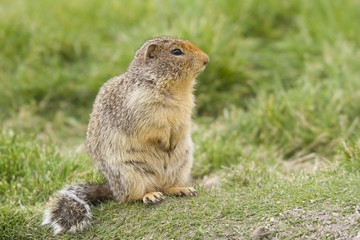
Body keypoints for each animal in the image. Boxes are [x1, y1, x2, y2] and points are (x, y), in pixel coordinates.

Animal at [42, 36, 210, 233]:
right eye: (176, 52)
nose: (207, 59)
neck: (175, 90)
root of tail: (113, 189)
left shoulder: (185, 109)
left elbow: (182, 125)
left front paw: (173, 141)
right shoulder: (140, 110)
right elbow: (153, 130)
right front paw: (164, 143)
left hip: (182, 165)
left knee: (166, 186)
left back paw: (181, 189)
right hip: (129, 174)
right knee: (131, 197)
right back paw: (150, 195)